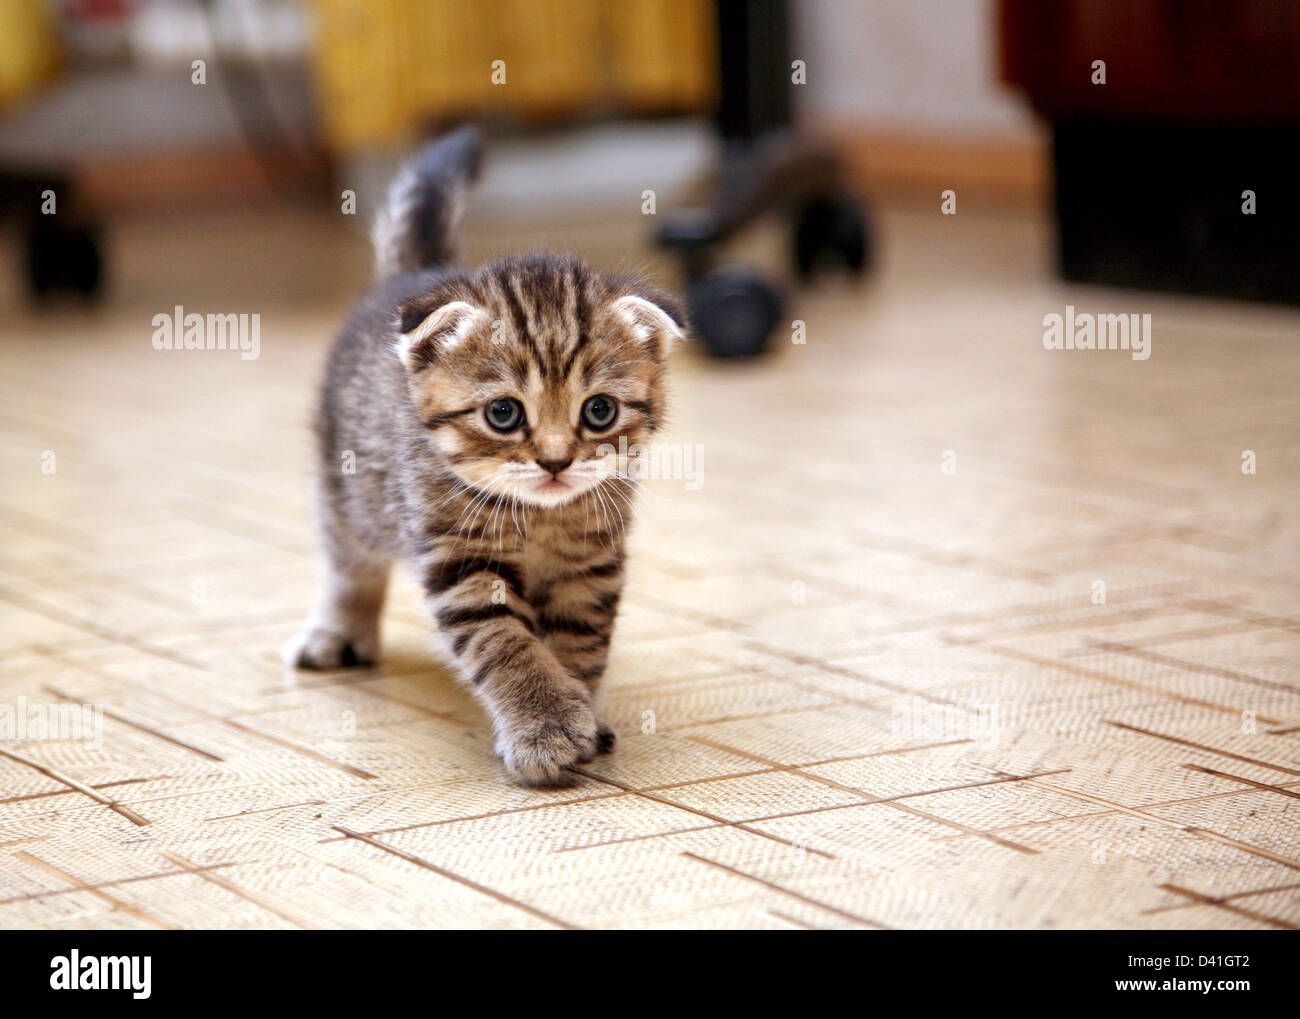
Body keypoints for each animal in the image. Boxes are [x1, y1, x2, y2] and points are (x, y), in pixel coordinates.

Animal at [286, 123, 686, 785]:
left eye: (599, 411)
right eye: (504, 414)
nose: (556, 460)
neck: (542, 519)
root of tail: (414, 276)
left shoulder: (590, 565)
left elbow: (579, 641)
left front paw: (582, 712)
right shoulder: (459, 559)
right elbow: (506, 644)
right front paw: (543, 726)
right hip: (346, 486)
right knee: (349, 561)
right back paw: (340, 628)